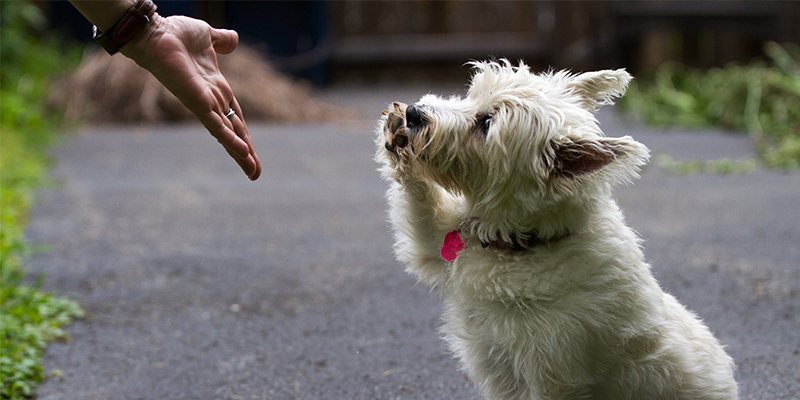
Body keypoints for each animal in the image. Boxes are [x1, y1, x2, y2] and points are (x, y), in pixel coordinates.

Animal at [376, 60, 736, 400]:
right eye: (471, 94)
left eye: (487, 123)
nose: (414, 112)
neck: (525, 242)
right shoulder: (434, 243)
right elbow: (420, 204)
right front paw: (394, 134)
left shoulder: (553, 374)